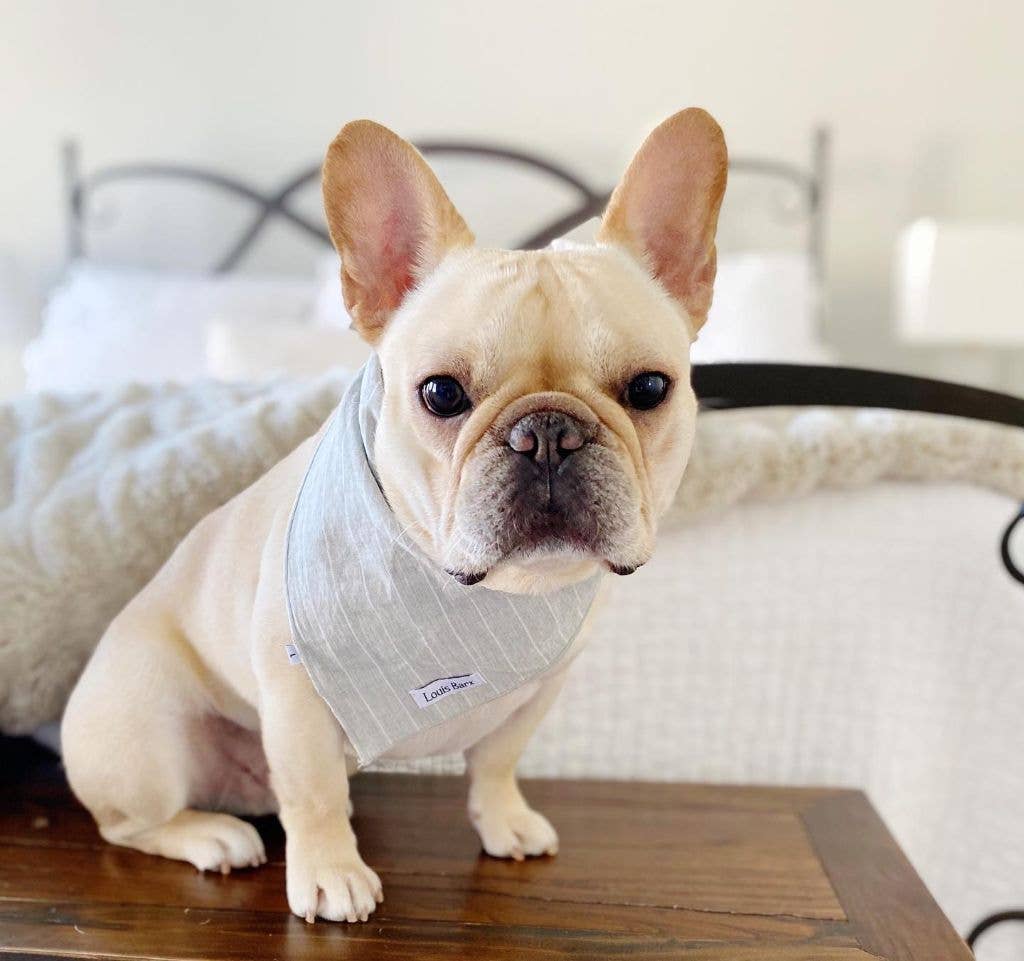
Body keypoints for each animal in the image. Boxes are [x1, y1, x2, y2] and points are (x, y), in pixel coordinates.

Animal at [61, 108, 729, 926]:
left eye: (649, 388)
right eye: (441, 394)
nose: (546, 433)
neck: (489, 594)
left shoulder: (541, 689)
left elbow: (497, 762)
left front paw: (503, 820)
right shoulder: (298, 694)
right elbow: (315, 793)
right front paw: (329, 874)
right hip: (146, 738)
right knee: (129, 824)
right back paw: (212, 836)